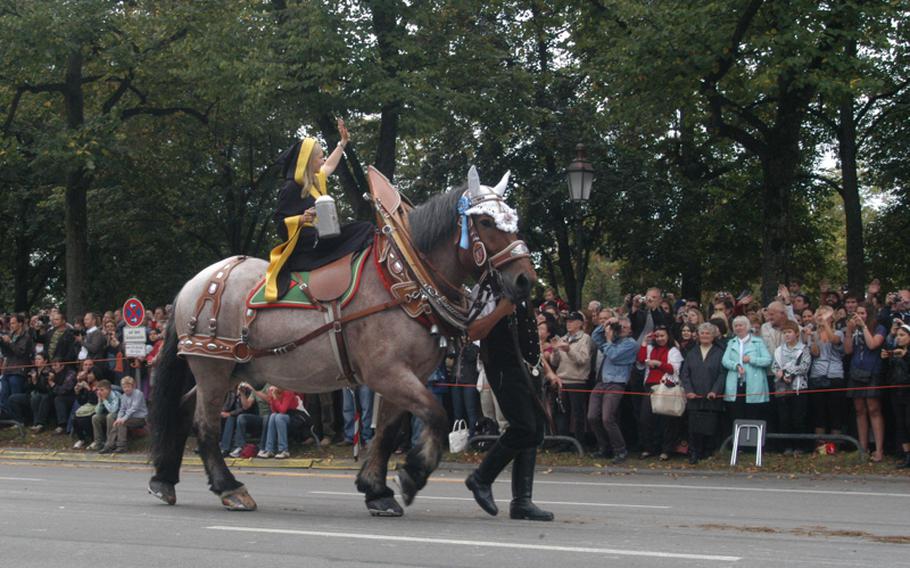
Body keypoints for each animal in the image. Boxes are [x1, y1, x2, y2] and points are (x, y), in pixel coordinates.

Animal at [146, 173, 536, 516]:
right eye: (485, 221)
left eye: (514, 219)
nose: (525, 280)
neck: (403, 276)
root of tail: (196, 283)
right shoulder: (387, 373)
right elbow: (436, 416)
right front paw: (412, 474)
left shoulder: (404, 377)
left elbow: (388, 431)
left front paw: (376, 490)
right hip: (212, 365)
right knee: (206, 424)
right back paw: (229, 488)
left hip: (229, 369)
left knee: (184, 409)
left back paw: (165, 478)